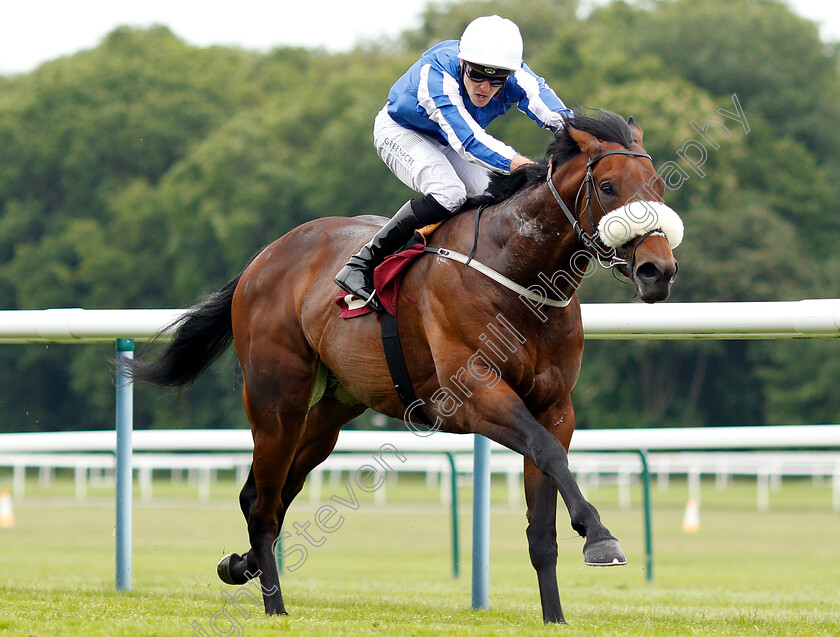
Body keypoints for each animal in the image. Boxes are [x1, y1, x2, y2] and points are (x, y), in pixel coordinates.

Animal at [130, 109, 684, 620]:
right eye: (608, 187)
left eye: (657, 186)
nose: (657, 270)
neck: (517, 274)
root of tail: (263, 258)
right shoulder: (476, 397)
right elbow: (548, 453)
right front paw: (601, 536)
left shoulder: (555, 407)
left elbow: (542, 520)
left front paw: (555, 615)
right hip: (276, 402)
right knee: (265, 504)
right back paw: (275, 606)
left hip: (328, 413)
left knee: (267, 493)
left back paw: (239, 564)